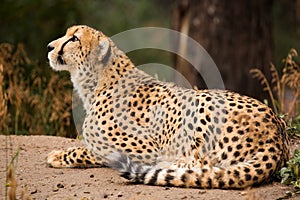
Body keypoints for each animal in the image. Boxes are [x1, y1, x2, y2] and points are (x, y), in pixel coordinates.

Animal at [47, 25, 290, 189]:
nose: (49, 46)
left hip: (203, 103)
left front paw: (58, 155)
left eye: (73, 39)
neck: (96, 81)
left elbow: (94, 150)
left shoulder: (143, 149)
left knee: (204, 164)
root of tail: (277, 131)